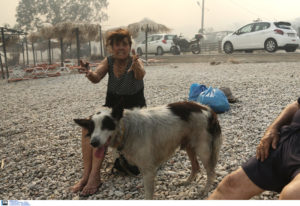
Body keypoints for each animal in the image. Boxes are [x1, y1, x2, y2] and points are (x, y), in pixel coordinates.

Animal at [74, 100, 221, 199]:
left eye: (106, 124)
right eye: (92, 128)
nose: (94, 143)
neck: (127, 129)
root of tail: (207, 109)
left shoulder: (148, 170)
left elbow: (148, 195)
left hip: (203, 149)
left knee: (211, 172)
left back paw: (205, 191)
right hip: (189, 146)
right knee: (196, 167)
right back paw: (186, 182)